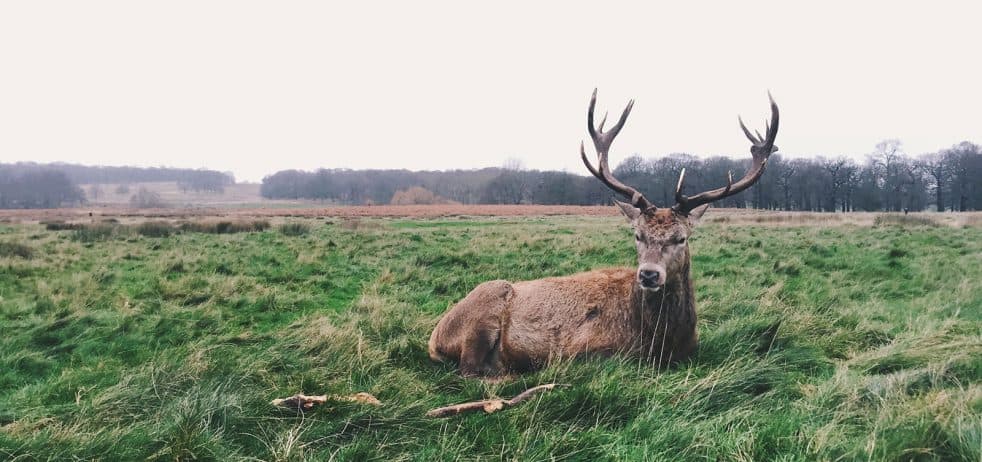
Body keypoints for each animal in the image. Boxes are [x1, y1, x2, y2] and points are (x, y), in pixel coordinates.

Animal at [428, 90, 780, 378]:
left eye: (681, 238)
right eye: (637, 235)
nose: (649, 274)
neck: (661, 342)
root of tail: (435, 337)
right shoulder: (585, 350)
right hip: (483, 310)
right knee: (470, 370)